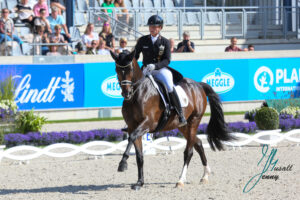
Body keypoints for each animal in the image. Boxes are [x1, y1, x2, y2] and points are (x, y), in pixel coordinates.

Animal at [110, 50, 234, 190]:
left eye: (130, 69)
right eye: (116, 69)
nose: (126, 94)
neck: (137, 95)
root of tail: (198, 85)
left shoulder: (147, 124)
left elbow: (131, 138)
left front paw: (122, 164)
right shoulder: (132, 126)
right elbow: (139, 156)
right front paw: (139, 183)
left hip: (194, 121)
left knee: (189, 151)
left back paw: (180, 180)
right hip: (182, 126)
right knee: (198, 143)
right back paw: (205, 176)